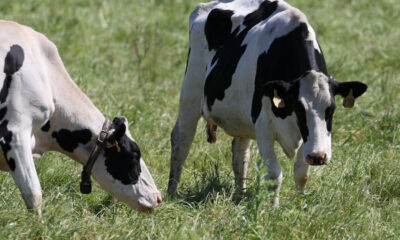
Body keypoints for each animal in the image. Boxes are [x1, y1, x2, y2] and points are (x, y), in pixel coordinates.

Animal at [167, 0, 368, 206]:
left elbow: (301, 172)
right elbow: (274, 174)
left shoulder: (304, 135)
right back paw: (172, 192)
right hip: (190, 92)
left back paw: (241, 194)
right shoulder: (263, 124)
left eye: (331, 109)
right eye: (299, 108)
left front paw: (298, 204)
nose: (318, 156)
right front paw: (273, 208)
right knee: (181, 141)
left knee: (240, 152)